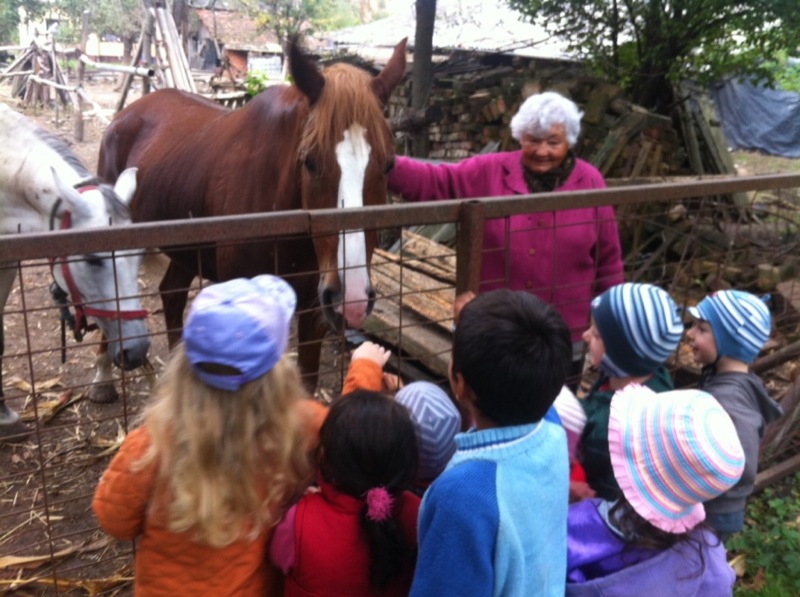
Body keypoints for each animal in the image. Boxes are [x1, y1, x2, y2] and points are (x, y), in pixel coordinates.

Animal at [97, 38, 407, 388]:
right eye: (310, 162)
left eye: (389, 164)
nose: (351, 298)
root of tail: (126, 114)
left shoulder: (313, 310)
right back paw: (103, 378)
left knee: (172, 295)